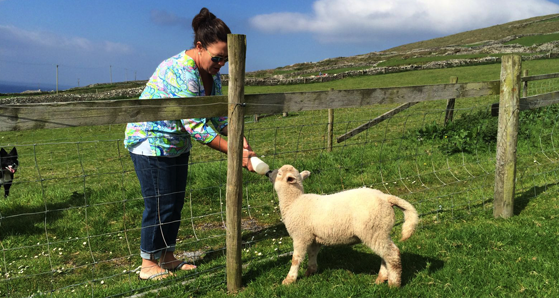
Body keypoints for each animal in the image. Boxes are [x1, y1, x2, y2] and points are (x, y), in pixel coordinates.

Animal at [268, 164, 420, 288]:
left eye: (279, 173)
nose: (269, 172)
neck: (293, 202)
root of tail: (385, 198)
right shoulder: (314, 237)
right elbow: (312, 254)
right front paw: (310, 271)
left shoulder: (301, 236)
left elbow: (296, 259)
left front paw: (289, 279)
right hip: (381, 230)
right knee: (385, 254)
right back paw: (381, 278)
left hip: (373, 230)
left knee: (392, 254)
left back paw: (393, 284)